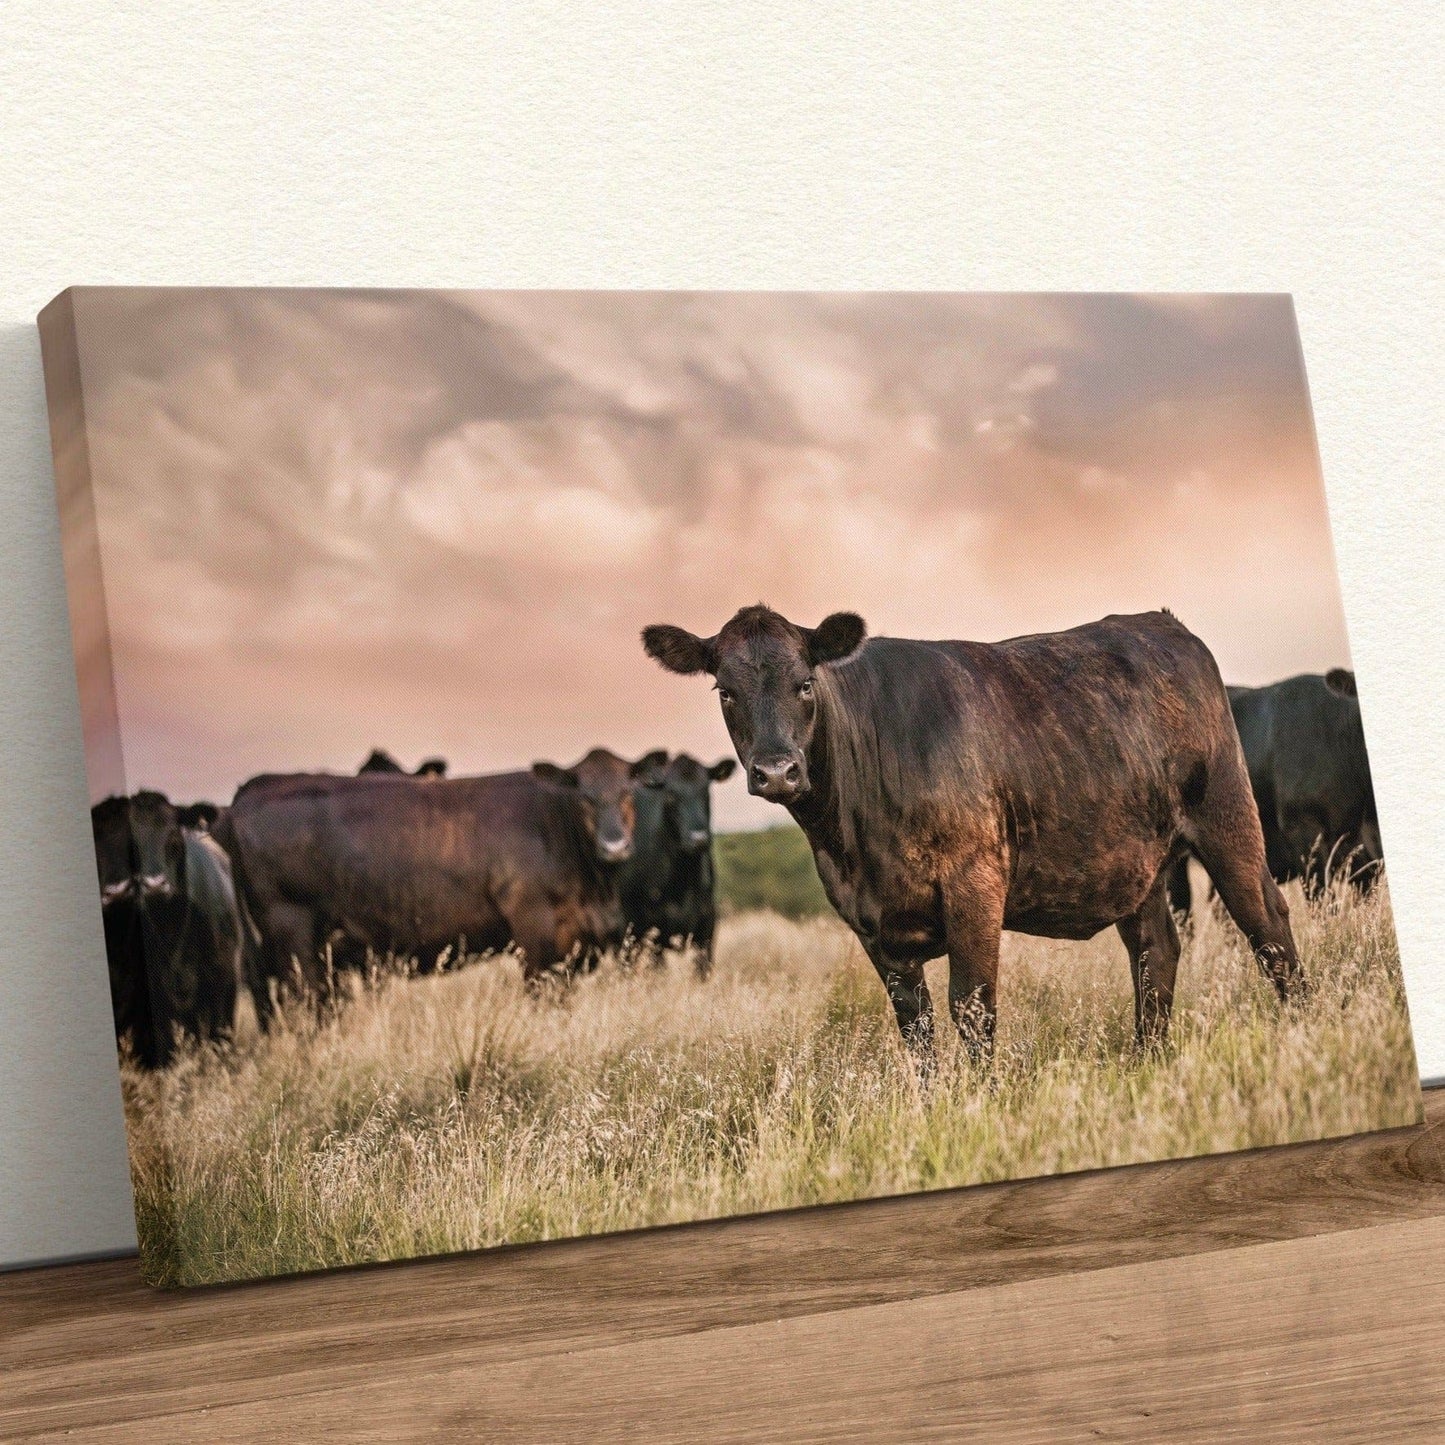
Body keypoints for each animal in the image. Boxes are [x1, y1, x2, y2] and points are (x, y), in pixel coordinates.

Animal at [219, 748, 668, 1019]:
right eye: (583, 797)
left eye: (628, 792)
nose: (614, 845)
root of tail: (253, 789)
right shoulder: (535, 932)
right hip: (293, 934)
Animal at [643, 604, 1304, 1069]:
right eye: (726, 691)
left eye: (805, 682)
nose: (777, 770)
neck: (855, 844)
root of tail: (1160, 623)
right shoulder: (871, 923)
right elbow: (916, 1027)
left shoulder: (975, 884)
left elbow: (972, 1006)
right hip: (1136, 863)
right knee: (1154, 950)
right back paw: (1148, 1061)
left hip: (1226, 818)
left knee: (1267, 925)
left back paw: (1304, 1028)